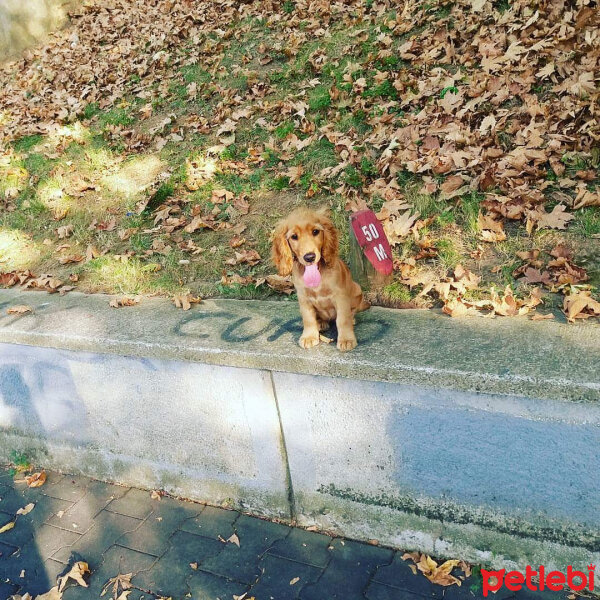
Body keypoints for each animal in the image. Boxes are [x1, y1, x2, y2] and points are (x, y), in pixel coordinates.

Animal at [274, 209, 368, 354]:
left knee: (352, 310)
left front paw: (346, 340)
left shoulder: (340, 296)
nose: (309, 257)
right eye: (294, 236)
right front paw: (308, 337)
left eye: (315, 232)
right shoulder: (303, 297)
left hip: (357, 290)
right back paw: (321, 323)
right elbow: (308, 319)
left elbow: (343, 319)